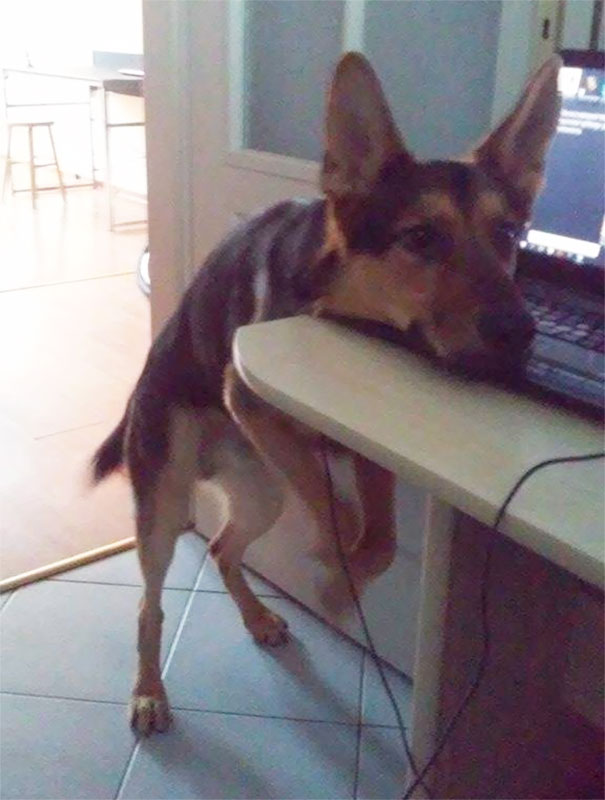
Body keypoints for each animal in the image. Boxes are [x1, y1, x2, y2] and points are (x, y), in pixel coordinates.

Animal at [91, 53, 560, 736]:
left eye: (509, 233)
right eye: (421, 238)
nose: (520, 333)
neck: (337, 301)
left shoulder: (364, 447)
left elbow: (382, 538)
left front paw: (345, 583)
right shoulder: (253, 400)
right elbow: (341, 515)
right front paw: (335, 577)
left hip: (263, 494)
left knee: (225, 549)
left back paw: (257, 617)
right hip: (165, 504)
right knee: (150, 604)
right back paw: (149, 691)